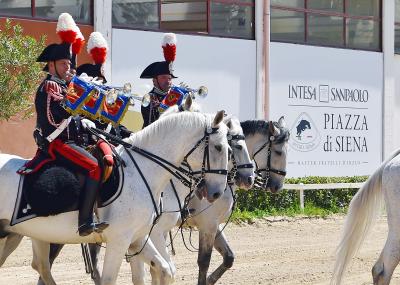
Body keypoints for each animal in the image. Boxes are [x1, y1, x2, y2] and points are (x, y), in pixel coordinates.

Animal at [0, 110, 230, 284]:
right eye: (219, 147)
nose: (217, 192)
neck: (142, 170)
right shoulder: (120, 240)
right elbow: (111, 279)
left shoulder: (137, 238)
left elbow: (165, 270)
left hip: (19, 234)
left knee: (41, 267)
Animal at [128, 116, 288, 284]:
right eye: (278, 152)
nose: (249, 179)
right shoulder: (207, 224)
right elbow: (204, 261)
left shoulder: (213, 224)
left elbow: (229, 257)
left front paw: (211, 279)